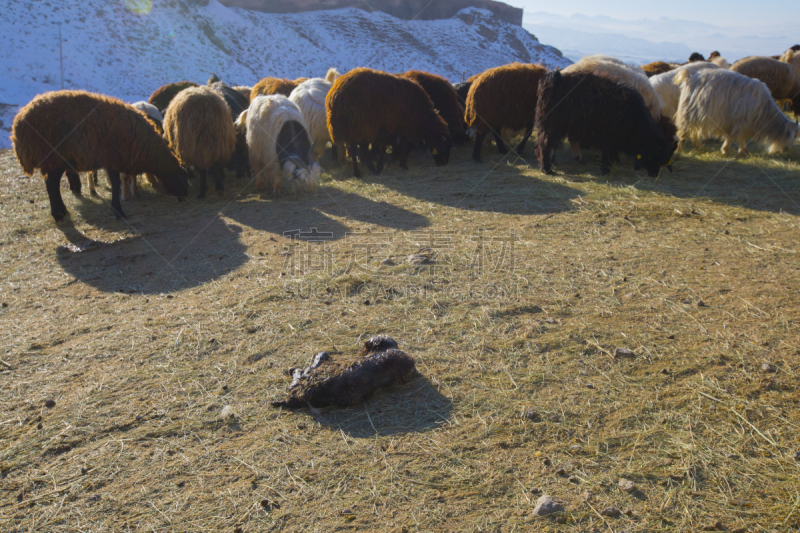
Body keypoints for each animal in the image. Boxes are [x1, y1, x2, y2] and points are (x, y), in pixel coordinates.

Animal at [11, 90, 189, 219]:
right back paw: (59, 214)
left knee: (52, 184)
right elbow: (116, 184)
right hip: (53, 157)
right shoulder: (113, 161)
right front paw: (119, 211)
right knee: (51, 185)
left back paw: (61, 212)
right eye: (181, 178)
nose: (184, 196)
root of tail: (19, 121)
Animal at [536, 70, 676, 179]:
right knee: (545, 145)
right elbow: (607, 153)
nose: (654, 175)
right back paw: (547, 169)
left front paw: (613, 164)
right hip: (553, 123)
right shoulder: (608, 136)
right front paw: (606, 169)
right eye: (654, 156)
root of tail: (554, 77)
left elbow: (611, 152)